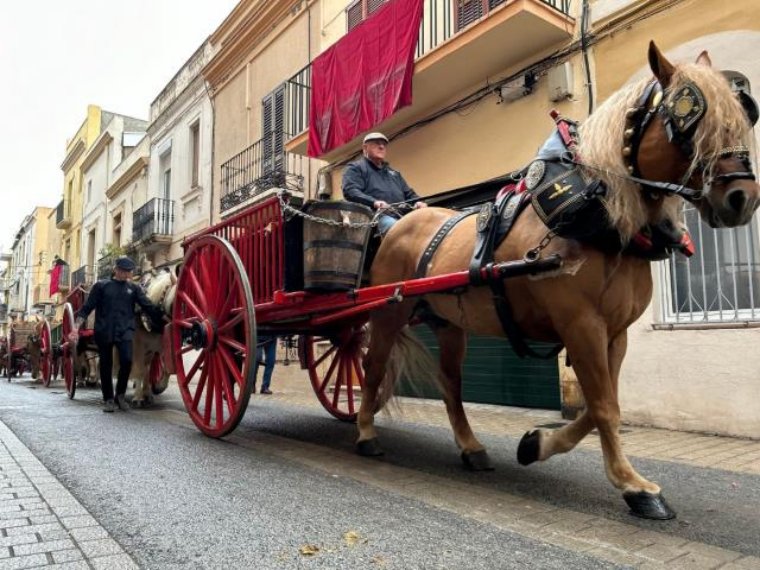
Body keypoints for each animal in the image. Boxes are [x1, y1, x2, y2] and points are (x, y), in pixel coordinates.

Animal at [358, 42, 760, 516]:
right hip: (388, 312)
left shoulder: (615, 333)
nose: (742, 198)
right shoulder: (581, 325)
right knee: (372, 367)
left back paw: (470, 447)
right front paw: (634, 486)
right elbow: (605, 408)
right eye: (688, 114)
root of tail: (396, 224)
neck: (595, 212)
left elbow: (601, 405)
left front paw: (537, 444)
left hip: (450, 322)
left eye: (744, 112)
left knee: (451, 384)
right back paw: (365, 433)